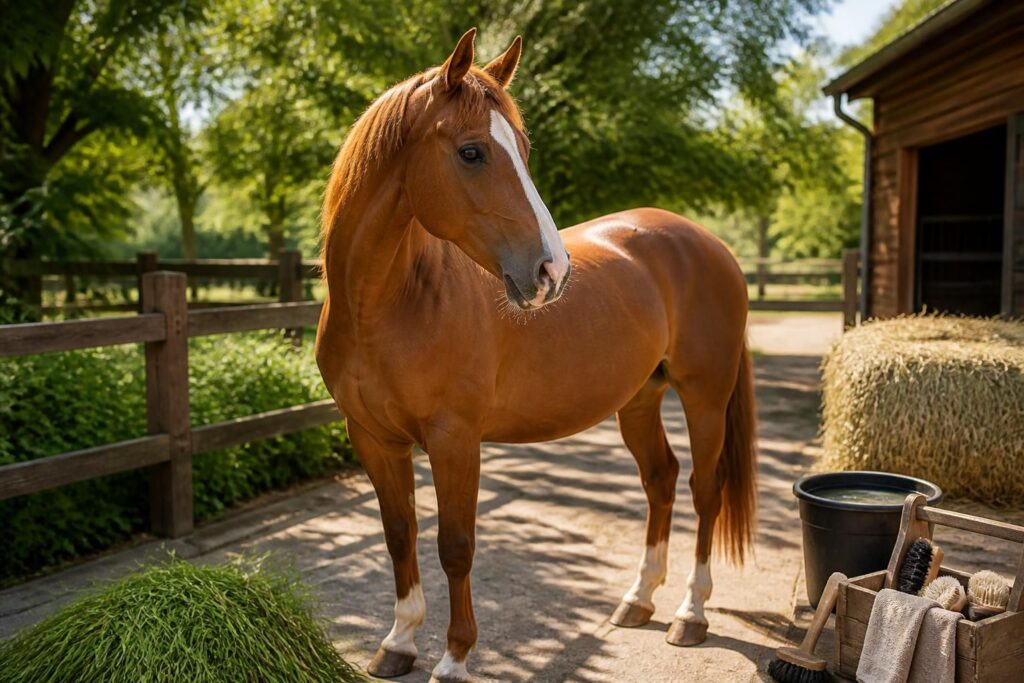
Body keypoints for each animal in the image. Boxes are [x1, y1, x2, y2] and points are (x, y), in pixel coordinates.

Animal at [315, 29, 756, 683]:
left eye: (521, 149)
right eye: (472, 152)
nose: (552, 272)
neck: (388, 303)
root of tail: (710, 244)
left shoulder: (454, 439)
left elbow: (455, 546)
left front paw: (455, 657)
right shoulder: (372, 438)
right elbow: (399, 535)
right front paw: (398, 642)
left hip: (705, 395)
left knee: (706, 488)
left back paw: (690, 613)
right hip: (640, 400)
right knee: (661, 479)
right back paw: (638, 599)